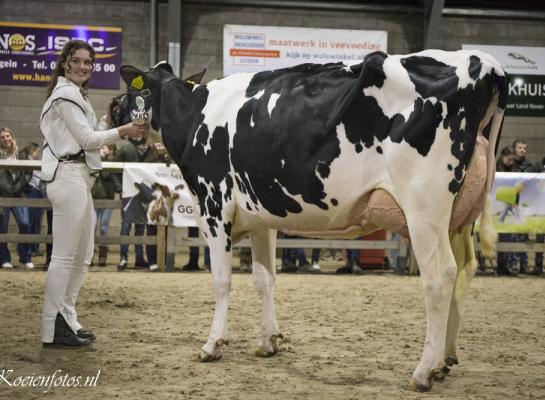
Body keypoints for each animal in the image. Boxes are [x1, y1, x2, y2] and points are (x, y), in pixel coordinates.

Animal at [118, 49, 506, 390]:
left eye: (129, 95)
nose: (116, 115)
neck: (195, 115)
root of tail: (484, 63)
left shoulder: (214, 205)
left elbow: (222, 280)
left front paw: (212, 344)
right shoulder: (260, 218)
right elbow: (264, 278)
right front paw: (268, 341)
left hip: (424, 208)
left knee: (440, 277)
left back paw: (423, 372)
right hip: (458, 214)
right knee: (465, 268)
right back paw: (445, 361)